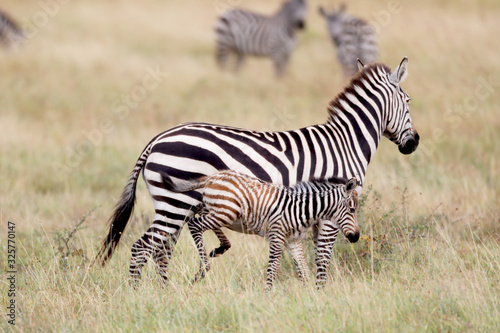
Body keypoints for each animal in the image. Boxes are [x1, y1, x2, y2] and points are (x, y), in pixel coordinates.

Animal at [162, 170, 358, 290]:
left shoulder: (293, 241)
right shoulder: (277, 235)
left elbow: (303, 270)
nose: (356, 237)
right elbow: (273, 268)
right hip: (226, 212)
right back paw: (204, 268)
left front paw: (311, 295)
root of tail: (213, 176)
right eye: (352, 209)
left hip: (218, 210)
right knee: (194, 224)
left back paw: (221, 247)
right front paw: (267, 295)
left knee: (195, 213)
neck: (301, 209)